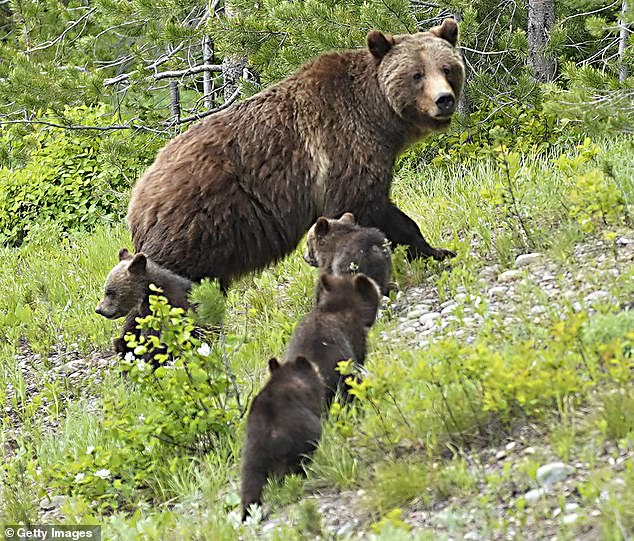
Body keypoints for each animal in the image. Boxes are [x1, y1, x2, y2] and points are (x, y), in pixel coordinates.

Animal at [127, 19, 464, 288]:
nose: (444, 100)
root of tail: (137, 196)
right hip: (198, 223)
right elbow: (365, 206)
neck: (379, 117)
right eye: (416, 74)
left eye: (447, 68)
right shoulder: (342, 147)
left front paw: (438, 251)